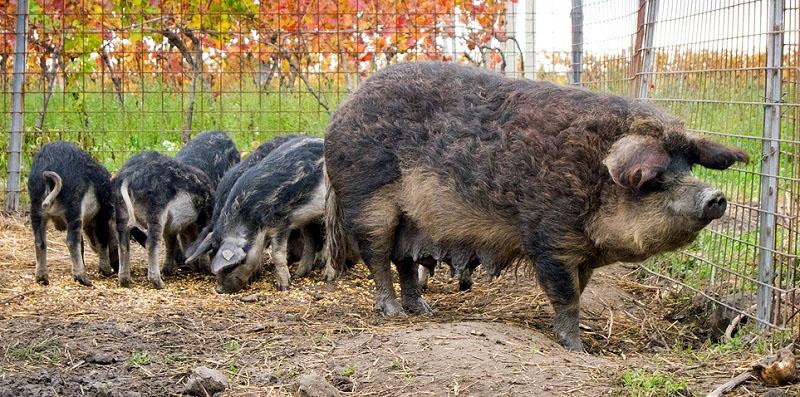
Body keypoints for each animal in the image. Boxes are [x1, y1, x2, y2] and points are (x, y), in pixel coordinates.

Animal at [27, 141, 119, 286]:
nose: (117, 267)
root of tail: (47, 171)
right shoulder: (102, 215)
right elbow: (102, 242)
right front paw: (106, 272)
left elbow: (82, 244)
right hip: (73, 207)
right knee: (70, 241)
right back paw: (85, 280)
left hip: (36, 209)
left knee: (40, 242)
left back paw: (43, 280)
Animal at [113, 151, 212, 288]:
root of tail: (128, 176)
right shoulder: (205, 215)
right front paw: (207, 270)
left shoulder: (171, 226)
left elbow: (170, 242)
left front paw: (167, 271)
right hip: (156, 211)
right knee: (151, 243)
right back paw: (159, 283)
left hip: (121, 211)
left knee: (123, 243)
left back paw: (126, 282)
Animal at [188, 138, 324, 292]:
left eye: (231, 266)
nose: (219, 289)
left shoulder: (281, 222)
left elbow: (277, 254)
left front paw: (283, 287)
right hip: (308, 217)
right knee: (311, 239)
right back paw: (299, 274)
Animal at [322, 61, 748, 350]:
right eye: (654, 178)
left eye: (687, 165)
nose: (715, 196)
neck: (590, 179)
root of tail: (340, 112)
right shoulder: (549, 237)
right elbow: (566, 295)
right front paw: (578, 349)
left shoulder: (581, 253)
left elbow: (580, 291)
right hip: (368, 201)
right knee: (377, 257)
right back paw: (392, 312)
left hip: (413, 220)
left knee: (405, 260)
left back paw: (423, 311)